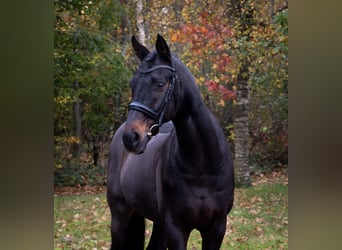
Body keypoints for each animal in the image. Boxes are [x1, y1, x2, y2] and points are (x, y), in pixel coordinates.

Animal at [107, 33, 235, 250]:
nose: (131, 138)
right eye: (132, 84)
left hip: (158, 225)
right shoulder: (176, 227)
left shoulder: (217, 227)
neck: (202, 168)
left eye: (160, 83)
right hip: (120, 216)